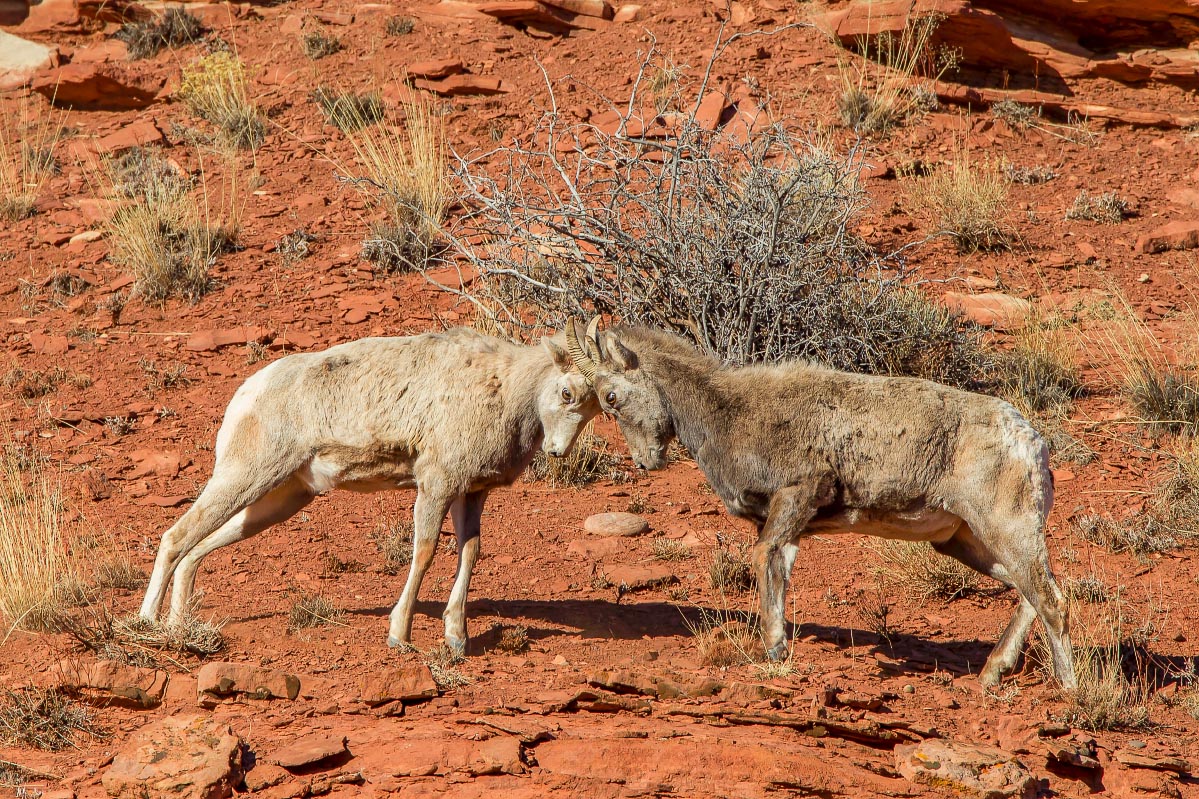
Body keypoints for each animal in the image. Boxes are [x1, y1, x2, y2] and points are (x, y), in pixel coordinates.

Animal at [139, 326, 599, 652]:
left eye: (599, 405)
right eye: (567, 392)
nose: (557, 451)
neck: (502, 385)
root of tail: (246, 393)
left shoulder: (470, 493)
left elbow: (469, 551)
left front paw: (457, 638)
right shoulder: (435, 485)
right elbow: (425, 551)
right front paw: (400, 636)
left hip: (279, 500)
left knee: (196, 548)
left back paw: (179, 626)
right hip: (245, 477)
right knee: (176, 537)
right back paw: (145, 625)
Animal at [565, 321, 1083, 686]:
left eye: (611, 397)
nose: (645, 461)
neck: (728, 413)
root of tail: (1031, 442)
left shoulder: (797, 496)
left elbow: (764, 560)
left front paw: (773, 648)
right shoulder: (787, 523)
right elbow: (778, 571)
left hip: (1006, 529)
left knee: (1052, 601)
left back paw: (1069, 691)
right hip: (964, 542)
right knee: (1030, 594)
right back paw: (993, 672)